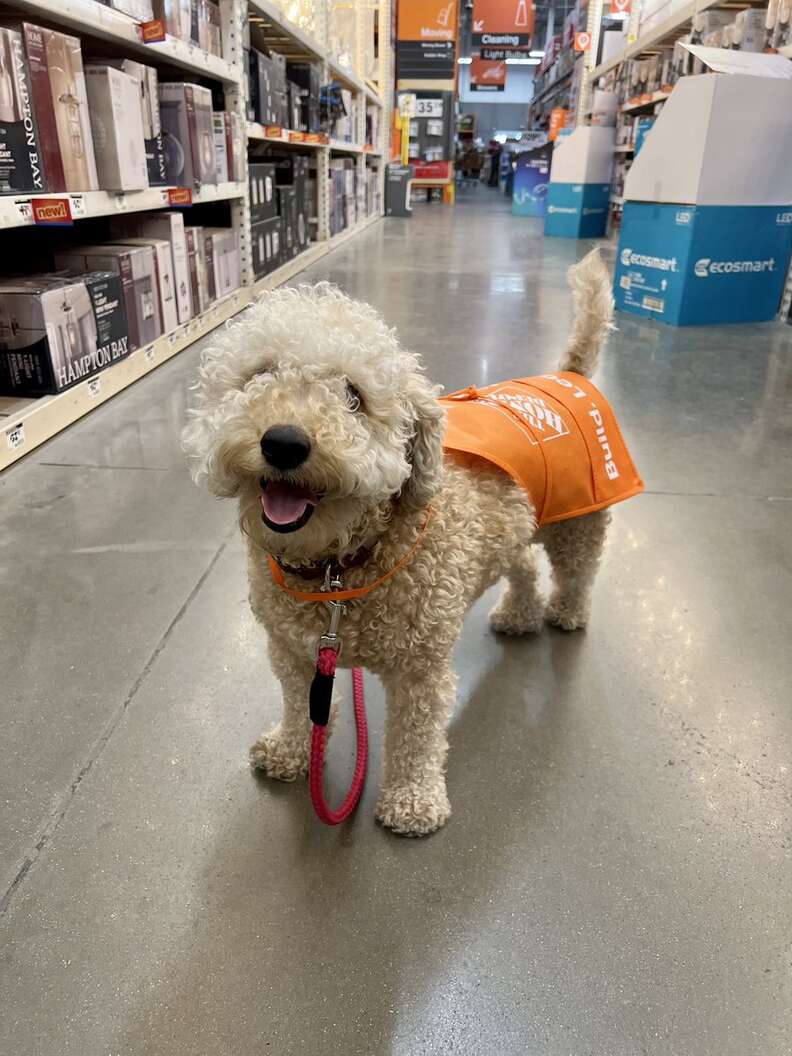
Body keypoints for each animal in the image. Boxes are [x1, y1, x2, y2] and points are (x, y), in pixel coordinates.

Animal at [184, 251, 620, 836]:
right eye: (261, 375)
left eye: (353, 397)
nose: (284, 442)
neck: (338, 570)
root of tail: (568, 374)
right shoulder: (292, 651)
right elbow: (300, 707)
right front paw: (291, 751)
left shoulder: (420, 670)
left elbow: (415, 738)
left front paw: (413, 801)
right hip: (513, 525)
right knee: (525, 561)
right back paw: (519, 614)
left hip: (580, 523)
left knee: (577, 571)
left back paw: (567, 612)